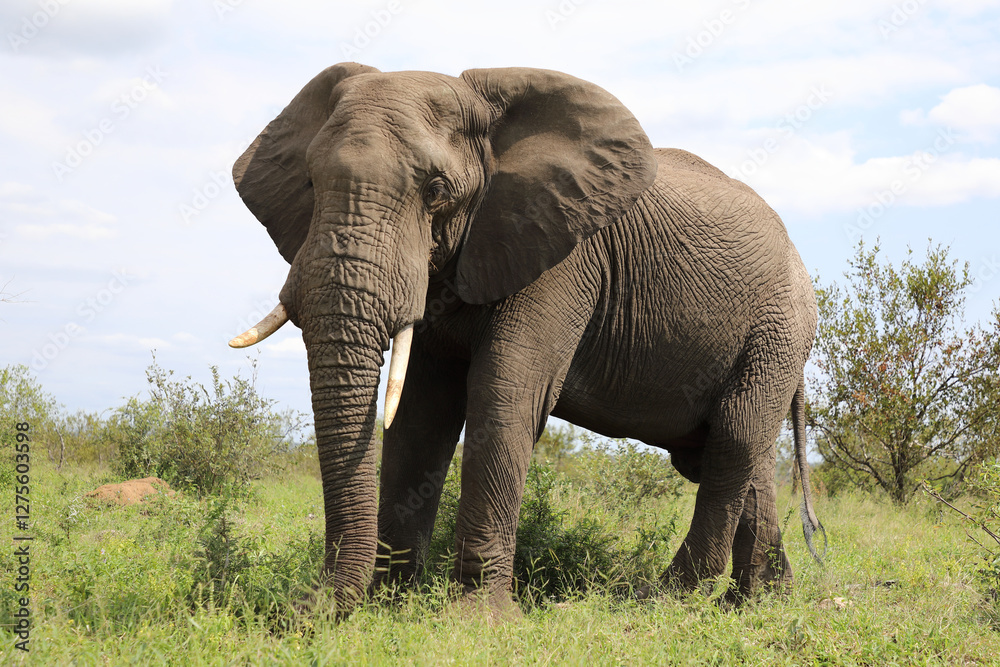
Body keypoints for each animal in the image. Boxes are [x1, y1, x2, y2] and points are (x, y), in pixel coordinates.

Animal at [229, 62, 824, 614]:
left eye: (436, 191)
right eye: (309, 183)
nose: (304, 610)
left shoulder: (564, 253)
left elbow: (504, 391)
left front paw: (474, 620)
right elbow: (421, 412)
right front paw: (391, 604)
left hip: (778, 328)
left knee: (735, 438)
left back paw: (666, 599)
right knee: (740, 455)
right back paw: (757, 603)